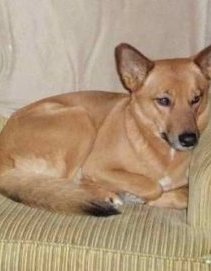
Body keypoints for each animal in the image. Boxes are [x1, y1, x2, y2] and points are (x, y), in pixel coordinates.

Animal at [0, 43, 209, 217]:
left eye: (196, 99)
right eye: (163, 100)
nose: (190, 140)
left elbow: (183, 195)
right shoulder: (97, 167)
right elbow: (153, 186)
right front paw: (135, 196)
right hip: (80, 118)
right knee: (68, 183)